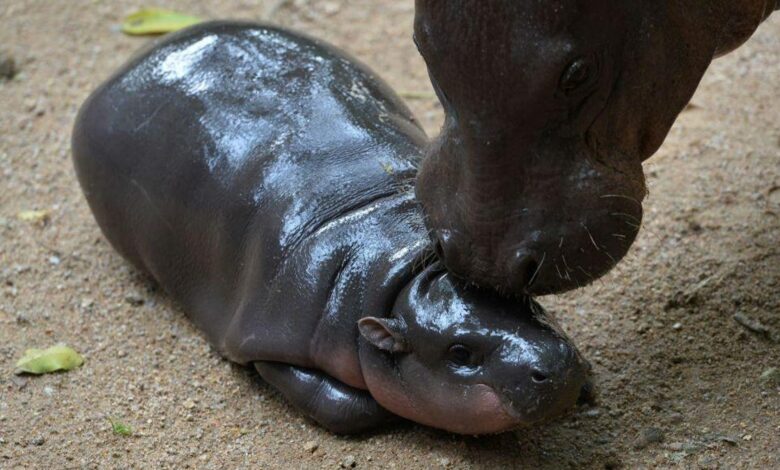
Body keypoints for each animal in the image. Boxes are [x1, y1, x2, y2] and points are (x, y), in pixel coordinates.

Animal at [74, 21, 592, 434]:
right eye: (460, 353)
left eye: (525, 302)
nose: (554, 364)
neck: (400, 264)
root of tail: (130, 66)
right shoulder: (270, 340)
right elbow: (342, 405)